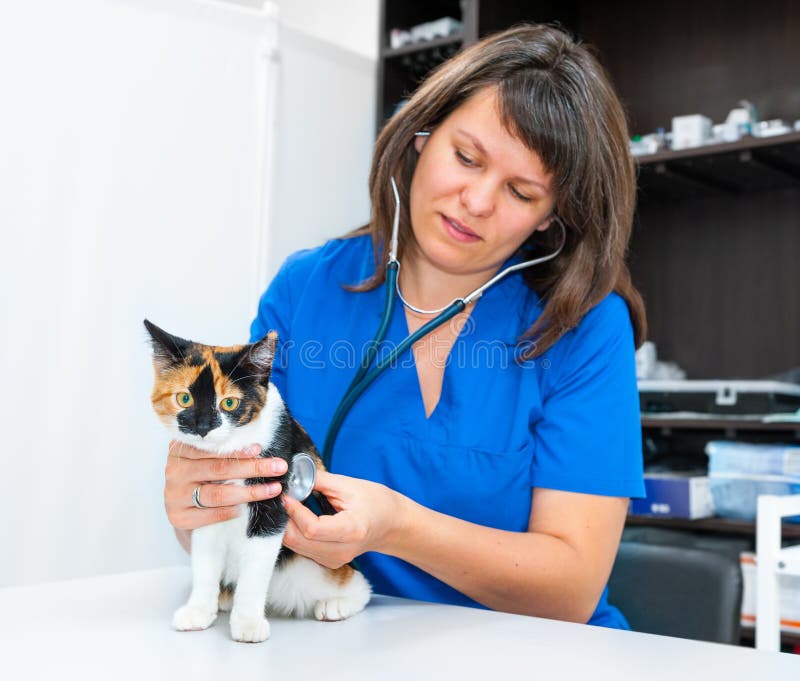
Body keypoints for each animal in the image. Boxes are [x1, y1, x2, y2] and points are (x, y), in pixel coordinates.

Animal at [143, 318, 372, 644]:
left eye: (229, 403)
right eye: (184, 398)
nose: (203, 428)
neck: (229, 447)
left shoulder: (273, 499)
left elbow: (256, 564)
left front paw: (248, 623)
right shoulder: (206, 505)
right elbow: (204, 559)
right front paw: (198, 610)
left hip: (311, 569)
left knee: (359, 585)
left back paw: (337, 602)